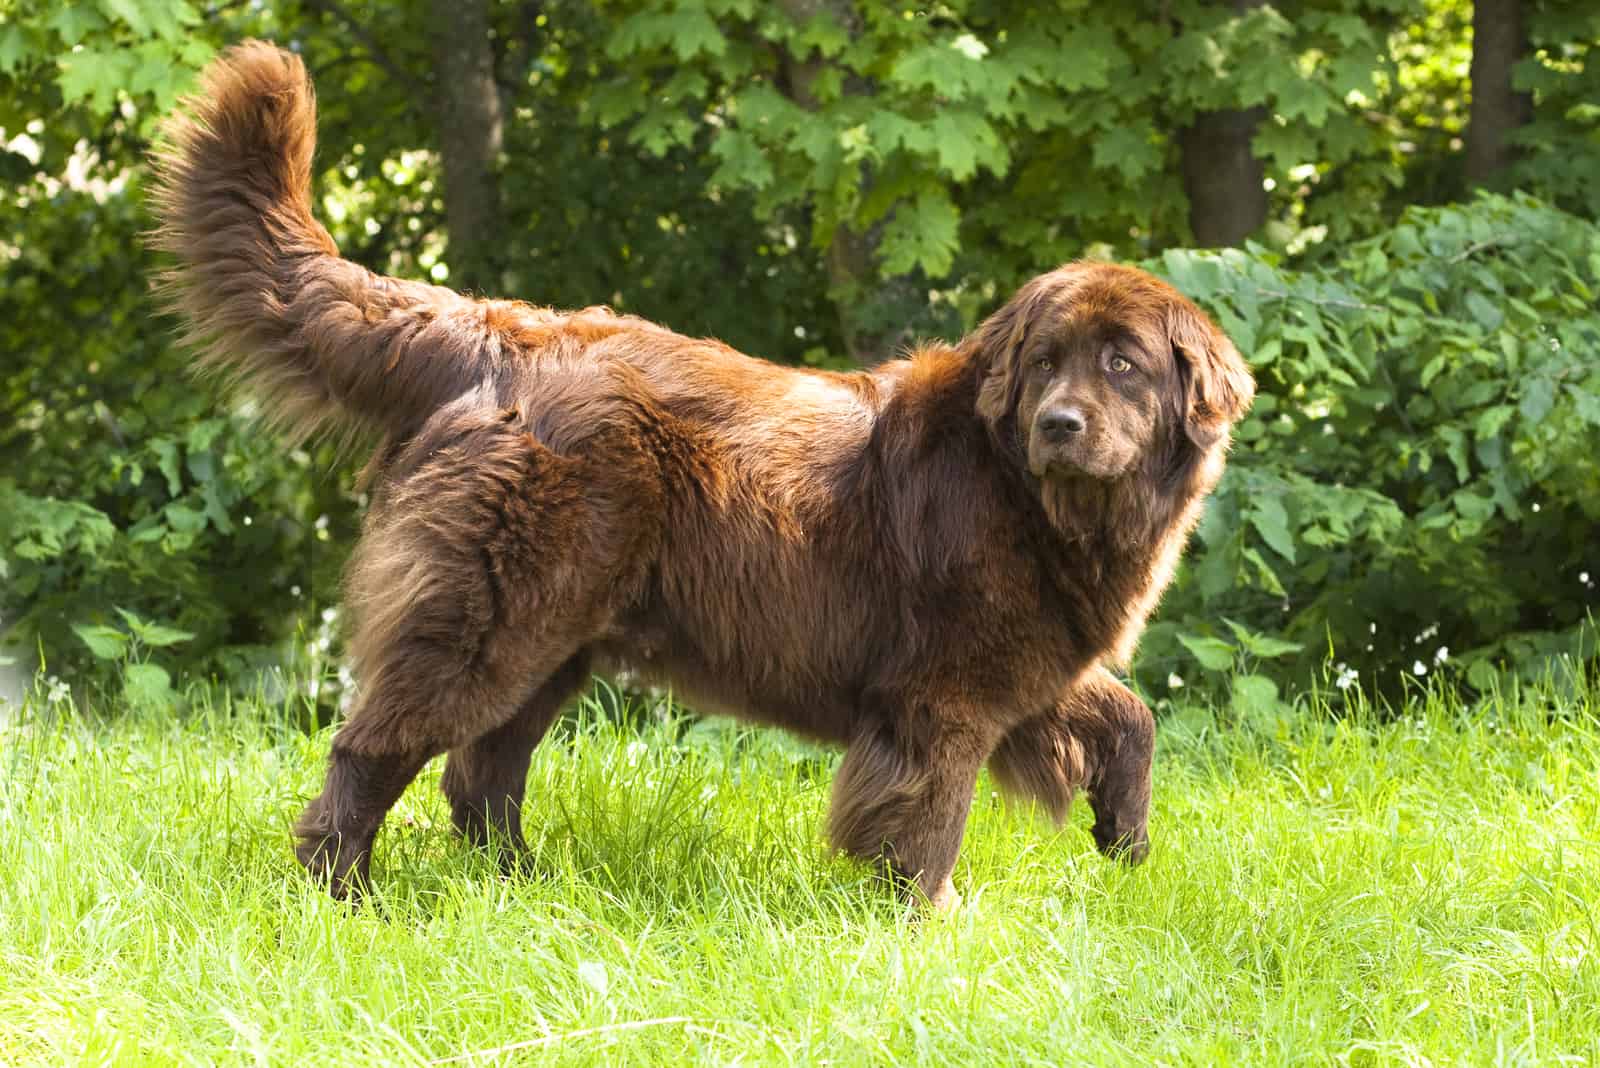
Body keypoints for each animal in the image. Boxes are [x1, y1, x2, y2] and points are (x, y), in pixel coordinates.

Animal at [150, 45, 1248, 908]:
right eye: (1046, 361)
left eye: (1122, 365)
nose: (1060, 424)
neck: (1029, 493)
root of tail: (491, 332)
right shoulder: (941, 692)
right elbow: (928, 815)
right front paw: (932, 926)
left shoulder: (1026, 663)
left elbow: (1130, 715)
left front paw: (1127, 846)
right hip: (492, 620)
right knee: (379, 748)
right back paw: (348, 897)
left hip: (556, 638)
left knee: (484, 774)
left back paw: (528, 892)